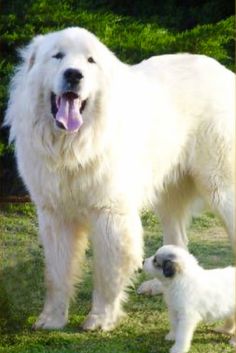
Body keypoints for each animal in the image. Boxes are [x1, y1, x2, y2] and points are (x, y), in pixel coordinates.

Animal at [4, 27, 235, 330]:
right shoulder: (55, 214)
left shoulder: (110, 213)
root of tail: (223, 70)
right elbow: (56, 272)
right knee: (177, 239)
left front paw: (100, 318)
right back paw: (160, 285)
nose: (74, 74)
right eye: (57, 56)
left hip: (220, 187)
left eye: (90, 60)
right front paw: (52, 318)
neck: (73, 146)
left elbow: (107, 271)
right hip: (168, 193)